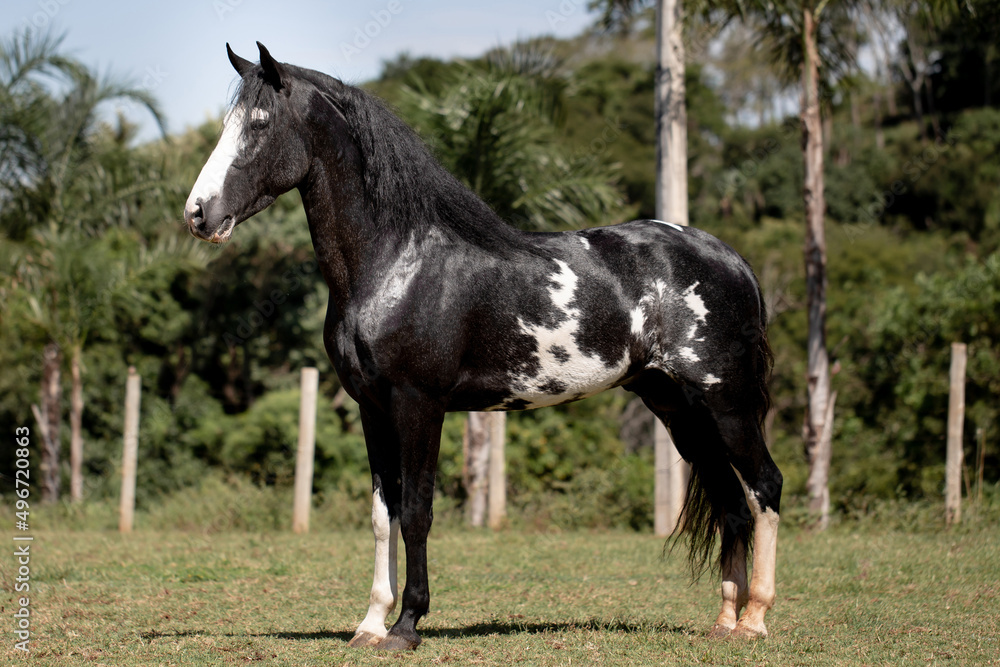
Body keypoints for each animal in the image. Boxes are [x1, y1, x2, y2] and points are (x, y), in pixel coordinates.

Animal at [184, 44, 784, 648]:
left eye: (260, 124)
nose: (197, 213)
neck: (396, 260)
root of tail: (733, 260)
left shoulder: (419, 404)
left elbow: (417, 511)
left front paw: (407, 624)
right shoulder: (373, 408)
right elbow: (383, 515)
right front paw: (370, 624)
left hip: (726, 405)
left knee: (764, 487)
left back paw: (755, 619)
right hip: (679, 409)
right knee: (732, 505)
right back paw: (724, 622)